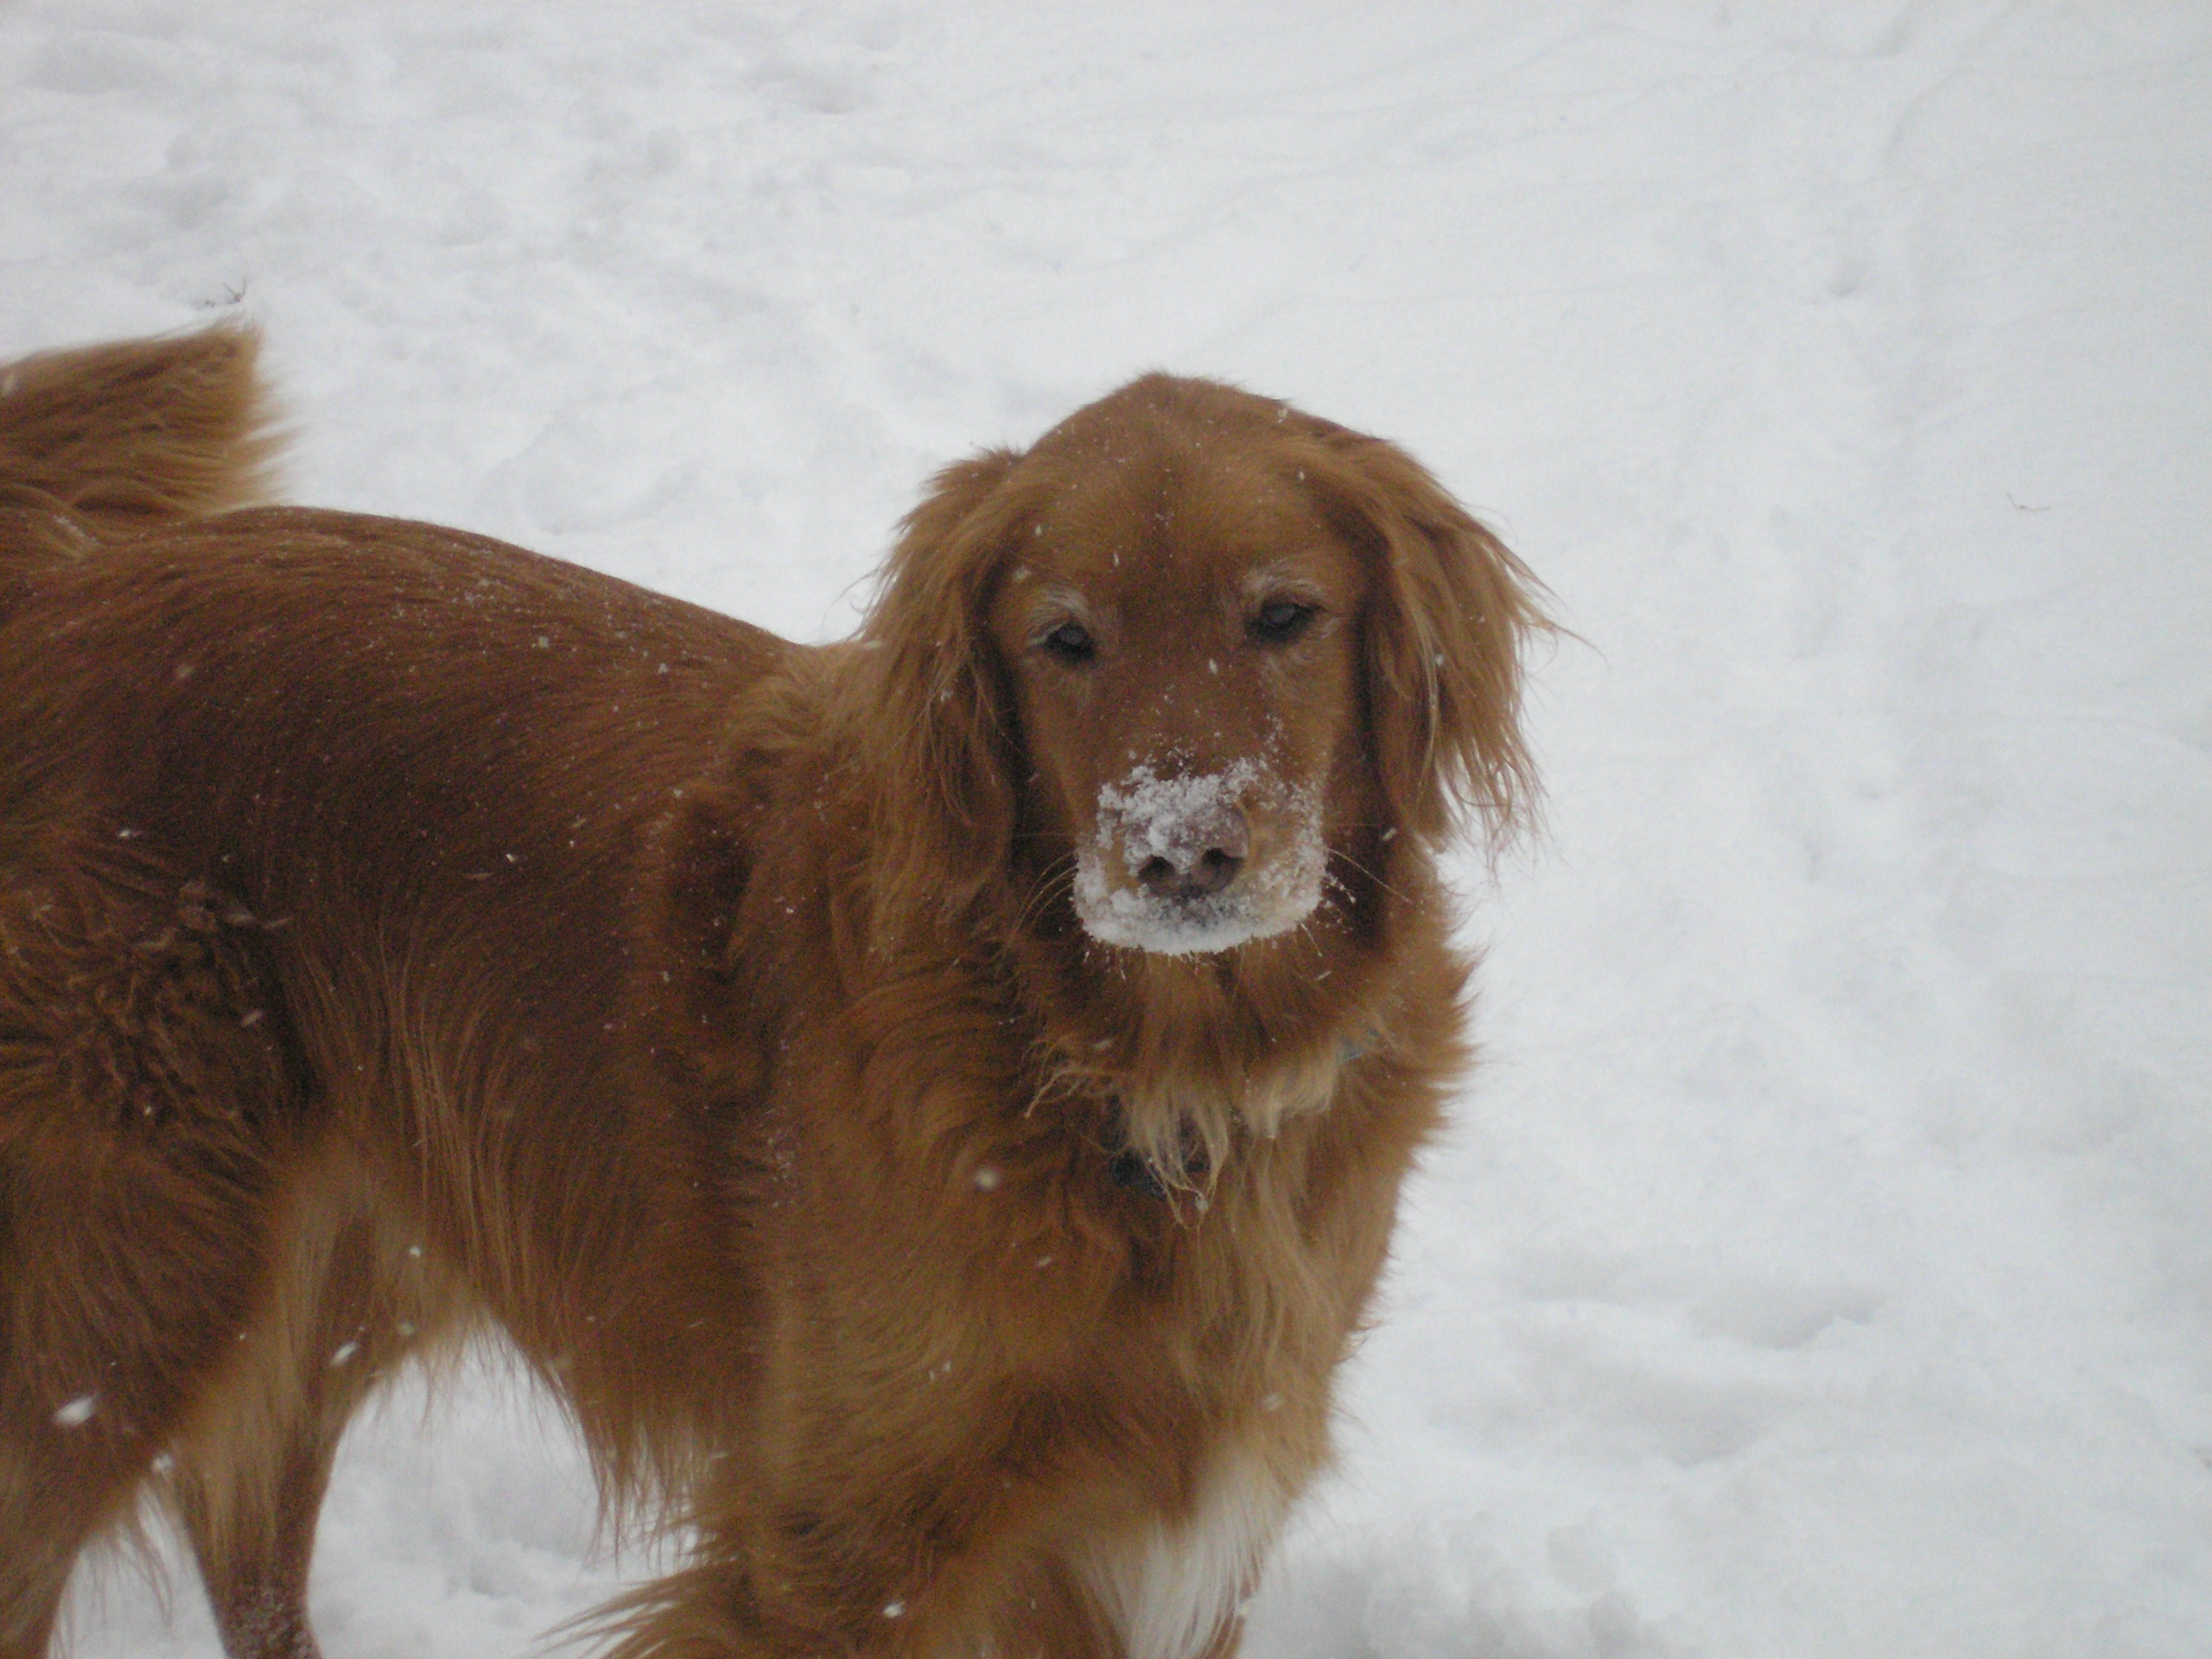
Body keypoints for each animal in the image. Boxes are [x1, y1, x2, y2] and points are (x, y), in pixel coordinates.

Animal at [0, 327, 1548, 1659]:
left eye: (1284, 615)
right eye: (1065, 640)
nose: (1178, 853)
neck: (1141, 1082)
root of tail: (52, 606)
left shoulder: (1167, 1534)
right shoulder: (838, 1549)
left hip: (343, 1251)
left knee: (245, 1516)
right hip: (128, 1277)